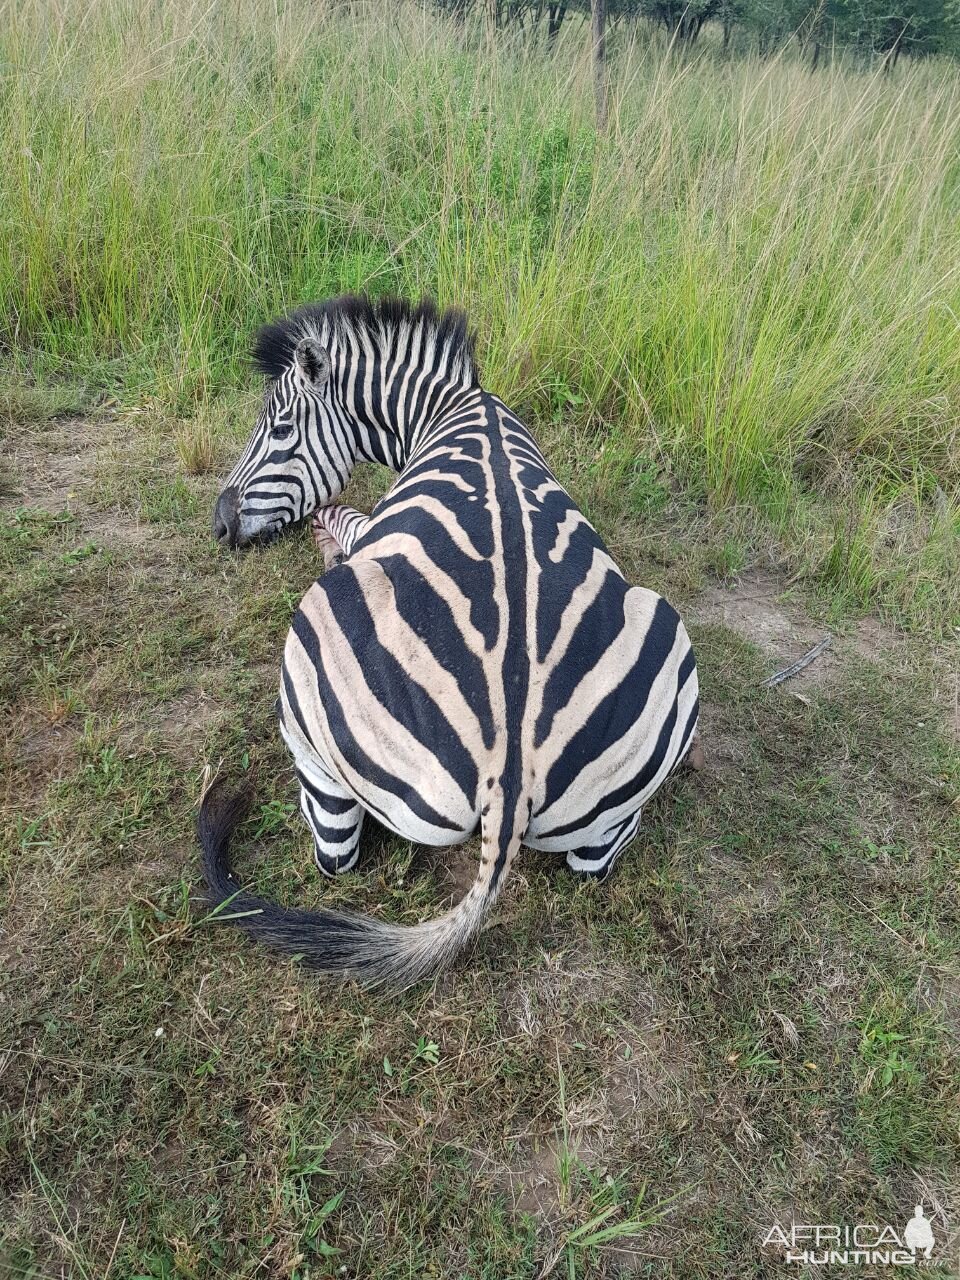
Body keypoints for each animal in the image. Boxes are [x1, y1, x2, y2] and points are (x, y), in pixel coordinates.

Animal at [203, 294, 701, 983]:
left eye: (279, 430)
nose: (220, 525)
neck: (452, 406)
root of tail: (508, 777)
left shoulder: (368, 525)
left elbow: (340, 517)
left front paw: (327, 539)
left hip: (308, 704)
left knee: (335, 854)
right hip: (662, 656)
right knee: (595, 860)